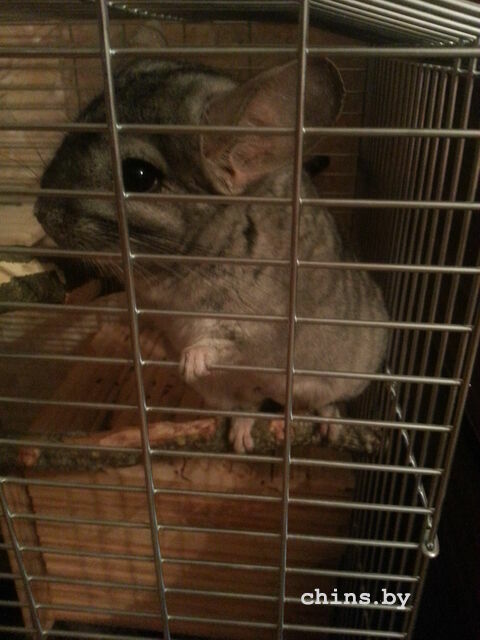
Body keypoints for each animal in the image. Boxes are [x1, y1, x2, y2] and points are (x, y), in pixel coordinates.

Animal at [35, 59, 388, 453]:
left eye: (138, 175)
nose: (40, 213)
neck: (173, 271)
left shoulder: (256, 320)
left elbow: (221, 339)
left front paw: (189, 363)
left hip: (344, 374)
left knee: (326, 399)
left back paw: (328, 422)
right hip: (226, 390)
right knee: (246, 405)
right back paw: (242, 435)